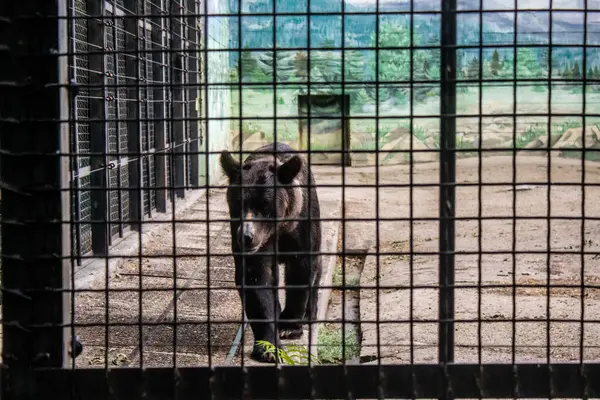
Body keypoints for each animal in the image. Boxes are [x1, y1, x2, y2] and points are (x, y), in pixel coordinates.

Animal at [220, 143, 324, 362]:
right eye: (238, 203)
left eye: (265, 205)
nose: (247, 236)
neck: (278, 229)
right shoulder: (255, 245)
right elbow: (258, 281)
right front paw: (269, 348)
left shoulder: (300, 226)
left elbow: (301, 271)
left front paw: (289, 327)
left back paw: (309, 314)